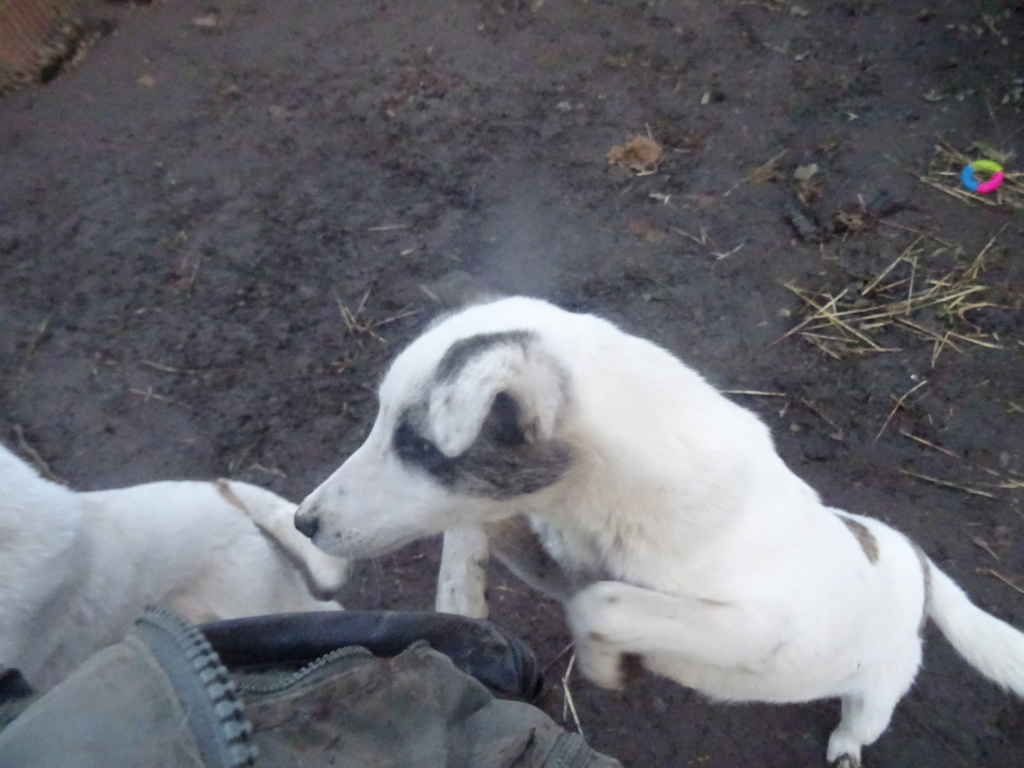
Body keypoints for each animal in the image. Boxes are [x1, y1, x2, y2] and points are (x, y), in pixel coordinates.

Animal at [296, 296, 1024, 768]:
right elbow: (478, 530)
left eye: (417, 445)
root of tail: (915, 562)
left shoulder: (757, 626)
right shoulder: (552, 552)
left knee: (861, 721)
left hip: (878, 691)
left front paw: (602, 664)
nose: (305, 523)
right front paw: (462, 604)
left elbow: (603, 602)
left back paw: (846, 748)